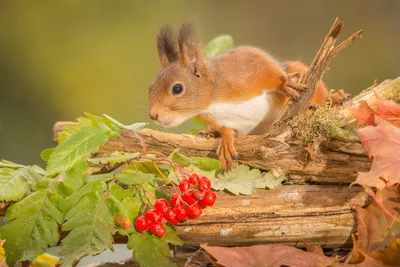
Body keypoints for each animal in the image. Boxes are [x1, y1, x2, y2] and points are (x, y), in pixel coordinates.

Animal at [148, 22, 348, 171]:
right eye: (150, 88)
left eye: (177, 88)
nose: (153, 115)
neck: (214, 100)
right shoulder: (219, 119)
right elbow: (226, 129)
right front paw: (226, 140)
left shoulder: (248, 65)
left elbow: (270, 71)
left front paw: (285, 84)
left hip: (302, 73)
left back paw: (336, 98)